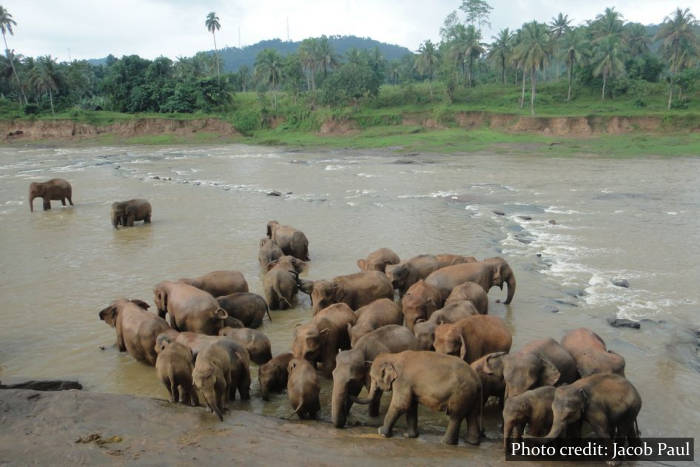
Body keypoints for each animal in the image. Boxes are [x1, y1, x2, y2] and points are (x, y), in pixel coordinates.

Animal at [352, 352, 484, 446]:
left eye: (373, 378)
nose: (351, 395)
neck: (393, 356)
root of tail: (477, 379)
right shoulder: (410, 385)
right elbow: (411, 406)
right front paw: (408, 436)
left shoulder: (402, 381)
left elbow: (401, 404)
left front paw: (382, 433)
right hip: (473, 395)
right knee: (472, 414)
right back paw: (471, 442)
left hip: (461, 393)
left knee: (456, 416)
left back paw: (445, 443)